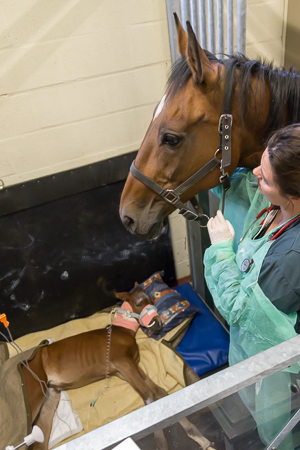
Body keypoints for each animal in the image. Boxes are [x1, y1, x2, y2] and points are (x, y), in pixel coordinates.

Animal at [18, 284, 214, 450]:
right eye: (138, 303)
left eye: (152, 301)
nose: (157, 324)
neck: (122, 331)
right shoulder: (123, 363)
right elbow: (149, 397)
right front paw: (162, 442)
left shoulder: (127, 369)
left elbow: (160, 393)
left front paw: (198, 436)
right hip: (34, 397)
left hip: (49, 398)